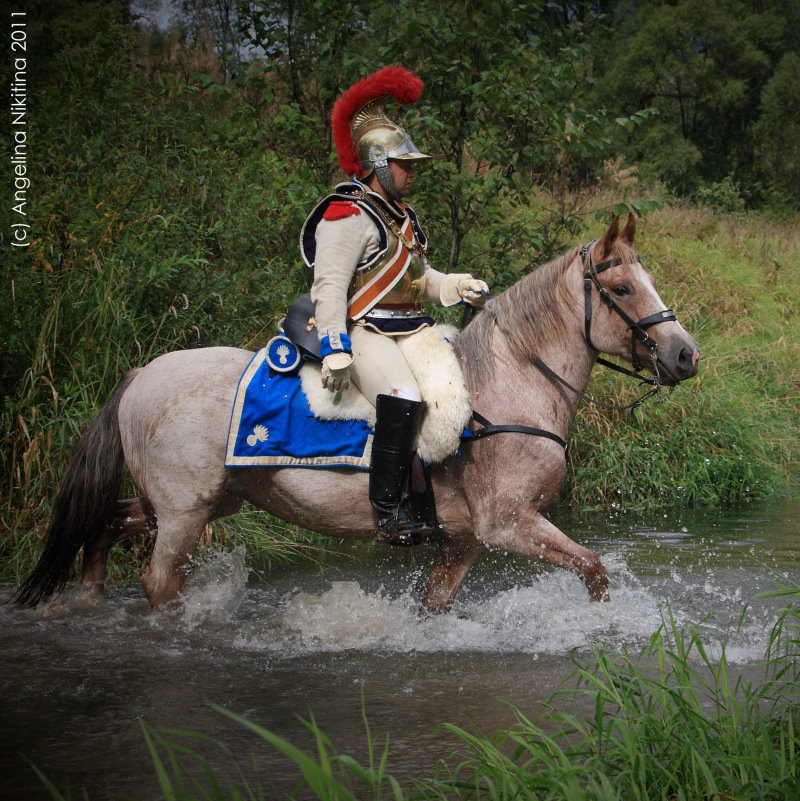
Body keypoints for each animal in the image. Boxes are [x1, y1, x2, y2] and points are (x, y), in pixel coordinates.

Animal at [14, 212, 700, 612]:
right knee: (160, 585)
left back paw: (86, 598)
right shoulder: (509, 524)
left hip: (195, 503)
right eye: (620, 288)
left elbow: (436, 604)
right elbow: (594, 570)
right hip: (184, 514)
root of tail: (141, 376)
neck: (510, 381)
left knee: (105, 523)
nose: (685, 354)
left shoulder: (464, 539)